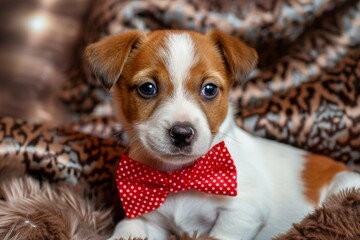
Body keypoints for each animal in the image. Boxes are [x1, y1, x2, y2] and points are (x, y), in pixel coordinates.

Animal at [85, 30, 360, 240]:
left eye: (209, 89)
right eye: (147, 88)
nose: (182, 133)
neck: (181, 178)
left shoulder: (243, 211)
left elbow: (220, 234)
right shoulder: (148, 217)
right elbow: (128, 227)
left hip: (343, 184)